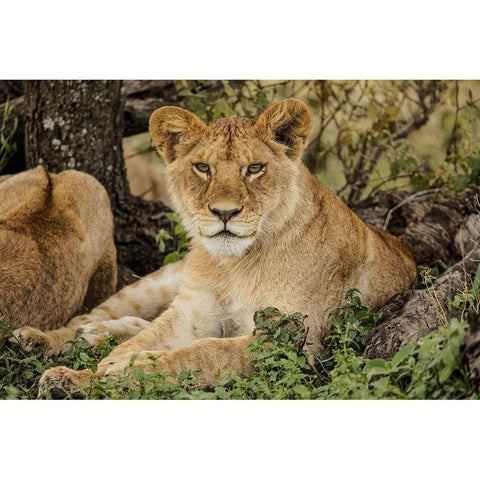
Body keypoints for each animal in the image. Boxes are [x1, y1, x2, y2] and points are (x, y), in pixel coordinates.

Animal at [37, 98, 416, 398]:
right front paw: (87, 374)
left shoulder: (288, 339)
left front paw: (126, 369)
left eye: (255, 169)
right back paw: (45, 338)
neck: (234, 265)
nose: (224, 212)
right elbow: (150, 339)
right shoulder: (191, 313)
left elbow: (205, 352)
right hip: (158, 282)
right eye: (203, 168)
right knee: (96, 315)